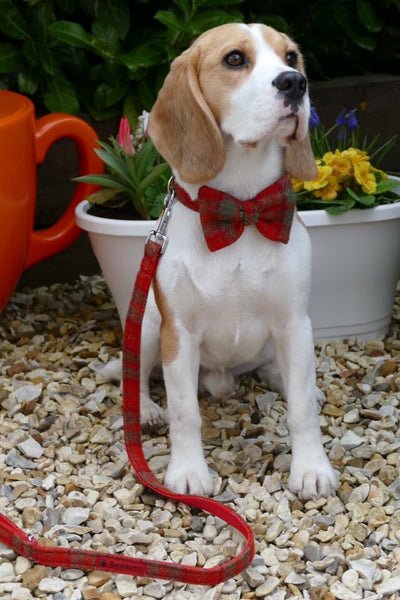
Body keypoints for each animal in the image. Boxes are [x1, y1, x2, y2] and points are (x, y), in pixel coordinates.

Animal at [138, 23, 338, 500]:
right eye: (234, 59)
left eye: (291, 56)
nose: (294, 83)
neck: (242, 207)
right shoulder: (179, 333)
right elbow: (184, 412)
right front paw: (187, 472)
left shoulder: (294, 323)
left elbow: (302, 407)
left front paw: (310, 469)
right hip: (149, 325)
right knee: (134, 379)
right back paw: (147, 409)